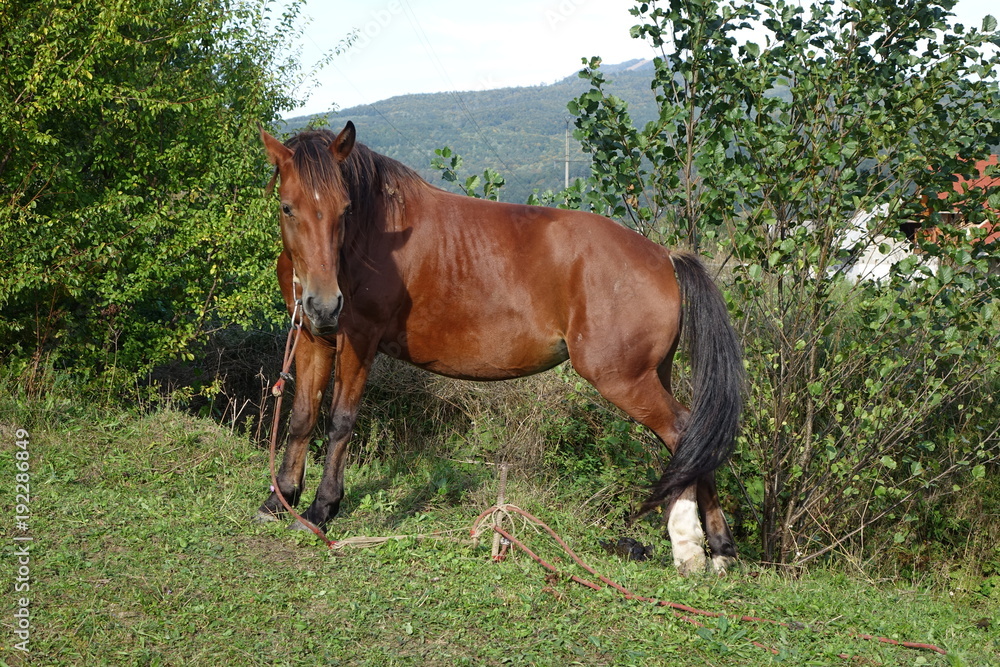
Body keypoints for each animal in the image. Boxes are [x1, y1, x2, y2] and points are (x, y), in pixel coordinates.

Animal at [258, 124, 744, 576]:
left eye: (345, 209)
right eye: (287, 207)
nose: (324, 303)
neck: (373, 234)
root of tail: (664, 256)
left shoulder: (359, 338)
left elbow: (340, 421)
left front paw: (321, 508)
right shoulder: (313, 338)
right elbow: (302, 416)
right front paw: (280, 499)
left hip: (624, 380)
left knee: (683, 431)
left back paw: (694, 549)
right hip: (650, 376)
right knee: (688, 438)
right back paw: (714, 548)